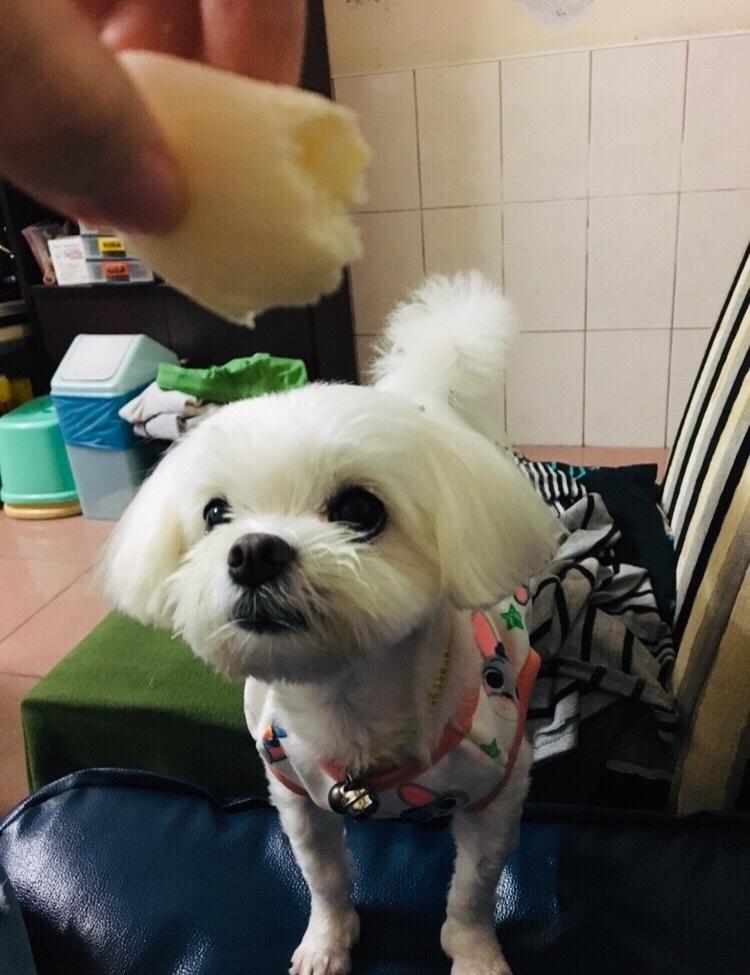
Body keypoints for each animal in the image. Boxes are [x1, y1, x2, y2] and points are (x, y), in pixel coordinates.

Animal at [103, 272, 558, 975]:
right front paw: (327, 942)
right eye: (215, 514)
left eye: (360, 510)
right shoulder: (295, 797)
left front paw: (477, 954)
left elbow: (475, 889)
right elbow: (324, 878)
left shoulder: (496, 797)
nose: (253, 552)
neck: (348, 706)